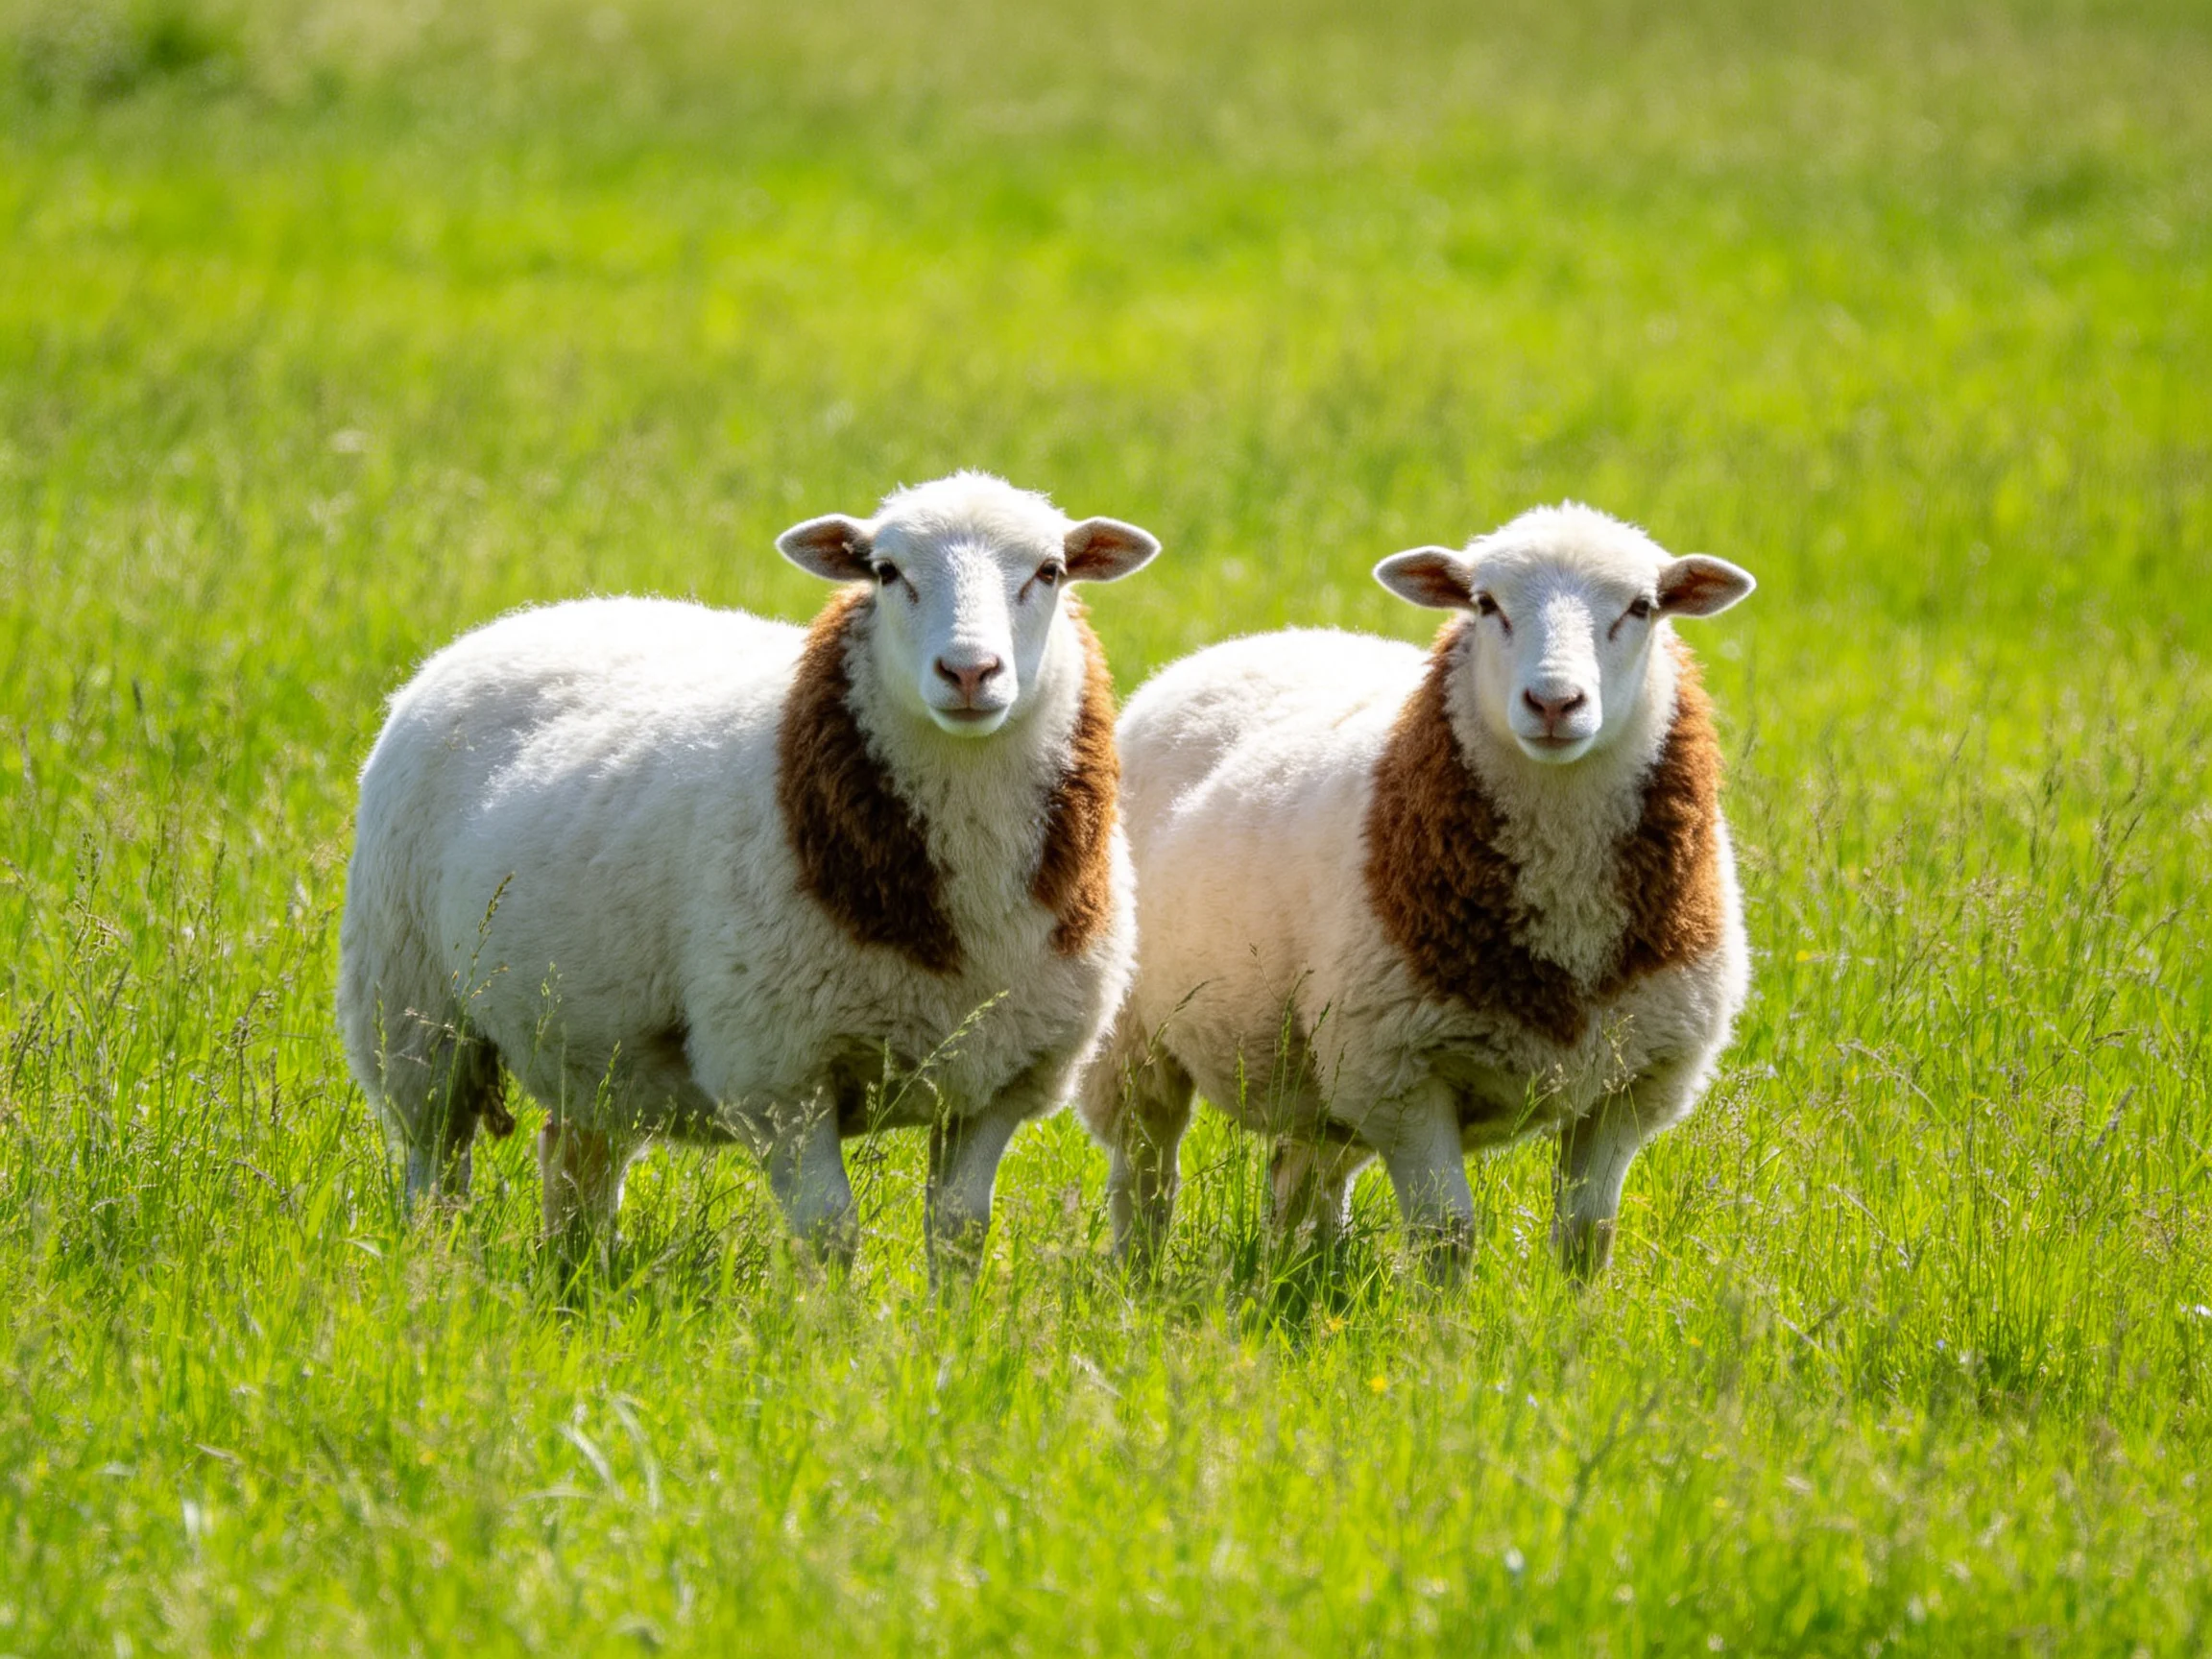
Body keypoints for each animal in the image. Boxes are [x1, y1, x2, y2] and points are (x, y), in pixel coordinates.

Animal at [336, 471, 1160, 1278]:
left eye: (1049, 572)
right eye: (886, 572)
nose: (968, 671)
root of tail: (529, 618)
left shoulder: (997, 1081)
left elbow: (958, 1231)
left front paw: (943, 1321)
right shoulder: (778, 1073)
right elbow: (830, 1233)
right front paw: (835, 1323)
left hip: (592, 1040)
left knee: (575, 1159)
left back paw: (577, 1278)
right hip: (410, 1005)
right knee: (435, 1166)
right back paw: (434, 1271)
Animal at [1078, 503, 1754, 1280]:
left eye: (1642, 608)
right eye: (1486, 604)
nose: (1555, 703)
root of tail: (1270, 637)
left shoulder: (1631, 1083)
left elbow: (1587, 1236)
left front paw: (1570, 1315)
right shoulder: (1399, 1074)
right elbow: (1446, 1232)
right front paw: (1444, 1317)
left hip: (1316, 1068)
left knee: (1302, 1174)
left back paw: (1306, 1275)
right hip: (1138, 1039)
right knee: (1146, 1170)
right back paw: (1139, 1275)